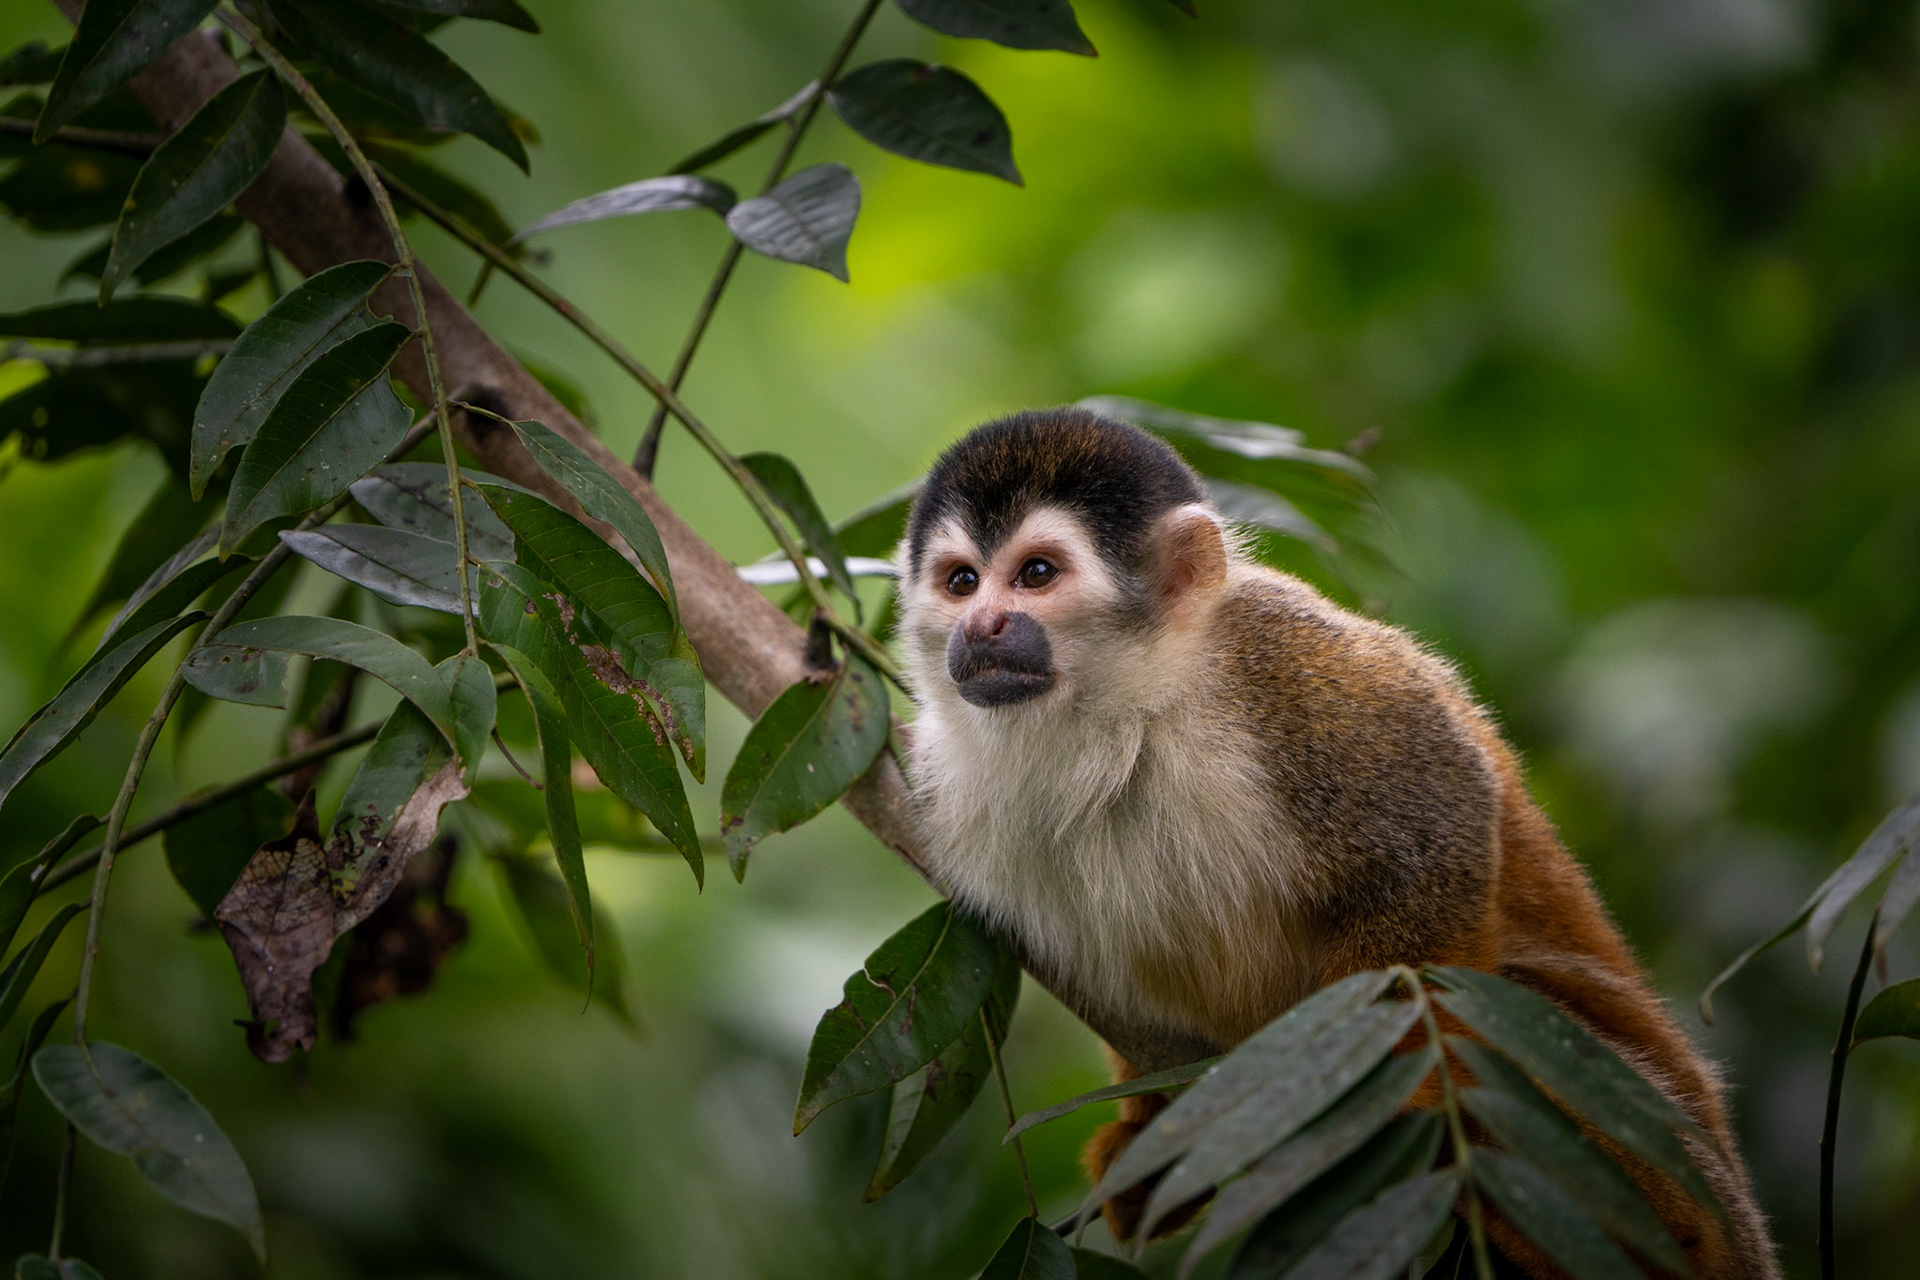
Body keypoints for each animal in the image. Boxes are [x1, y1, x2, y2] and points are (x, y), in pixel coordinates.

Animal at [894, 407, 1777, 1278]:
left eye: (1037, 574)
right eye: (962, 581)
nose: (983, 625)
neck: (1128, 712)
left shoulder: (1281, 663)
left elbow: (1442, 818)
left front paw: (1382, 1099)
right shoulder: (945, 785)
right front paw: (1151, 1140)